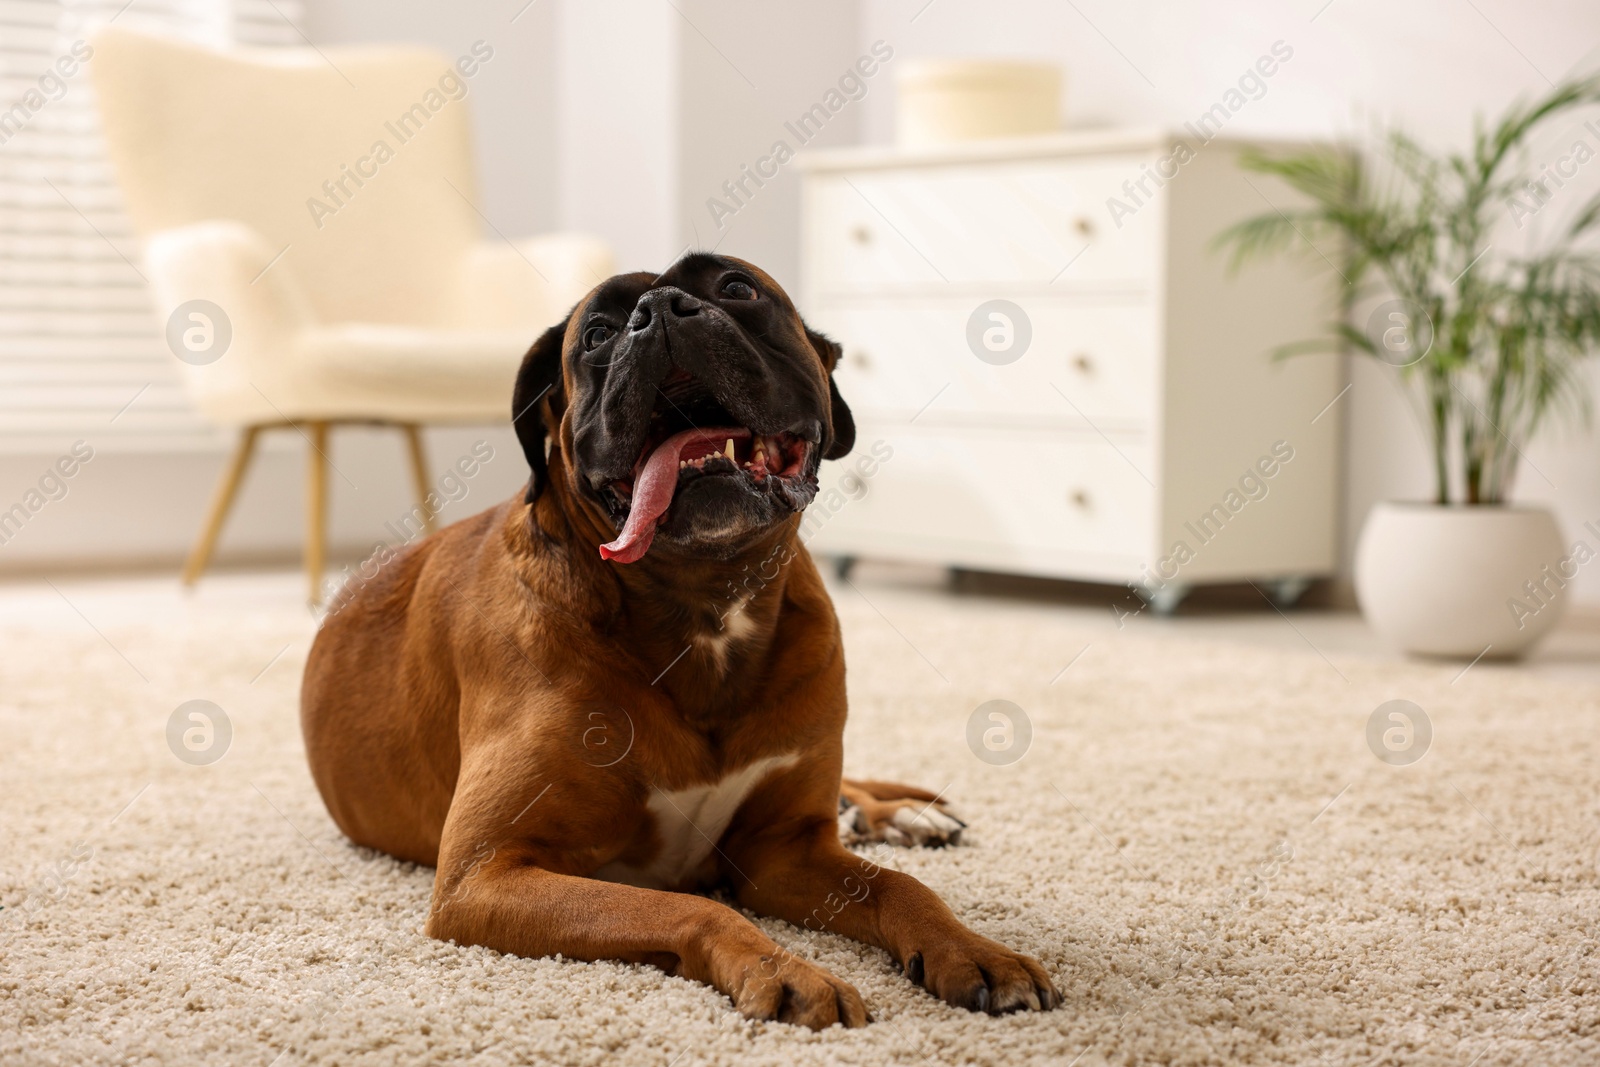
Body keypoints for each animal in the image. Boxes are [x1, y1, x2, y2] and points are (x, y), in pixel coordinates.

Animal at [300, 254, 1056, 1030]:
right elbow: (692, 906)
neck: (704, 605)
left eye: (736, 288)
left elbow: (902, 887)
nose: (659, 310)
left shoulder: (786, 852)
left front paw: (974, 949)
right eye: (597, 333)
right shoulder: (485, 875)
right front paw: (783, 969)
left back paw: (898, 813)